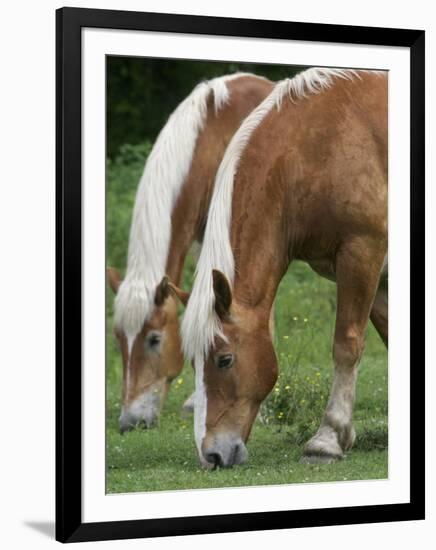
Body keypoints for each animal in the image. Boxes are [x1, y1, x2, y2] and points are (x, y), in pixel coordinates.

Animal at [179, 67, 390, 468]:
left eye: (225, 360)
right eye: (194, 364)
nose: (211, 455)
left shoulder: (362, 253)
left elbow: (346, 344)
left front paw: (328, 438)